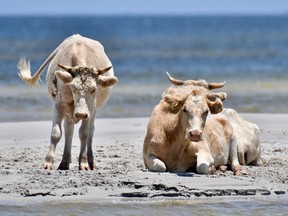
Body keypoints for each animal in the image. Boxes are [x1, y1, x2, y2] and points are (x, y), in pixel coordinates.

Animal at [17, 33, 117, 170]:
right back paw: (65, 161)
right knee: (69, 129)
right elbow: (56, 133)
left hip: (93, 111)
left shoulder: (90, 109)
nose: (80, 114)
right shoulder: (59, 105)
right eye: (72, 88)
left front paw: (84, 163)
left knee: (90, 130)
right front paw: (48, 162)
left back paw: (90, 161)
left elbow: (84, 133)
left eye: (94, 89)